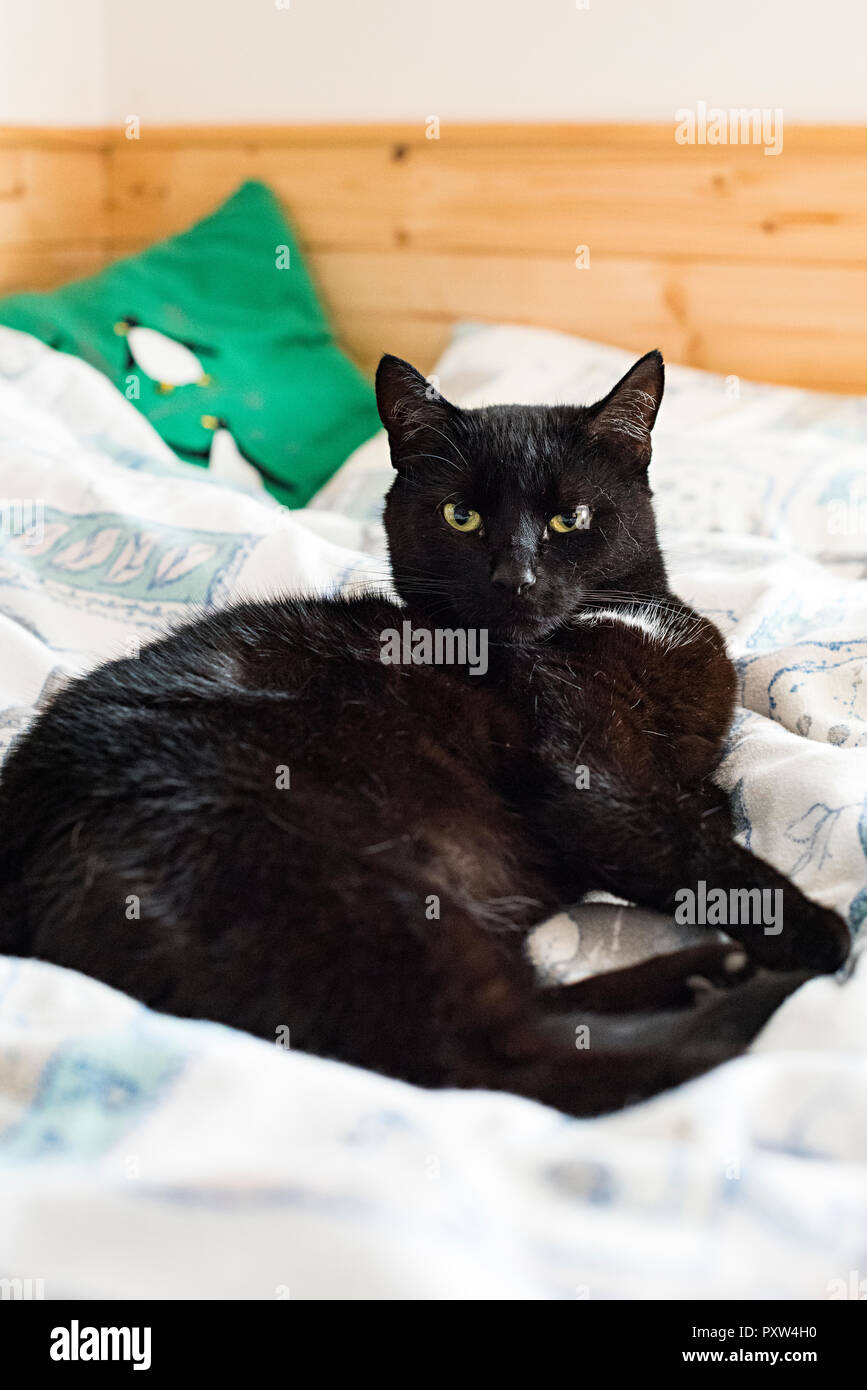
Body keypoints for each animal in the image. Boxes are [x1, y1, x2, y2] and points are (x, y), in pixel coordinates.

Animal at [0, 353, 850, 1112]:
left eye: (568, 518)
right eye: (460, 516)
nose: (516, 578)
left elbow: (697, 810)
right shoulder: (586, 777)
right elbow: (694, 849)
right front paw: (815, 932)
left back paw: (712, 973)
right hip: (359, 880)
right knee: (499, 1060)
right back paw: (742, 1009)